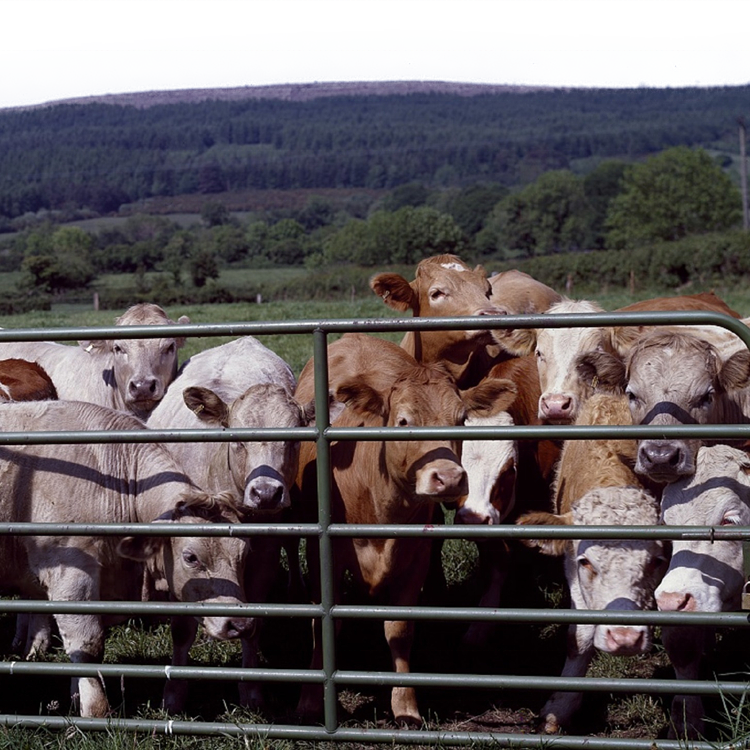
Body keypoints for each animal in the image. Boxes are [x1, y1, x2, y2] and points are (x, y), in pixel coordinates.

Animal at [0, 402, 254, 720]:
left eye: (243, 553)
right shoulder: (69, 573)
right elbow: (87, 644)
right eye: (191, 557)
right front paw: (95, 711)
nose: (239, 623)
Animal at [147, 338, 314, 712]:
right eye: (238, 438)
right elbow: (182, 629)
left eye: (293, 439)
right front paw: (174, 692)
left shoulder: (263, 555)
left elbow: (255, 622)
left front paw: (251, 690)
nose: (266, 493)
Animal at [294, 332, 512, 724]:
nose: (449, 477)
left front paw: (405, 704)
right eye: (403, 420)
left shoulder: (415, 559)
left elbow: (399, 628)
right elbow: (324, 624)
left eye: (461, 419)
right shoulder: (323, 557)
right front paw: (309, 702)